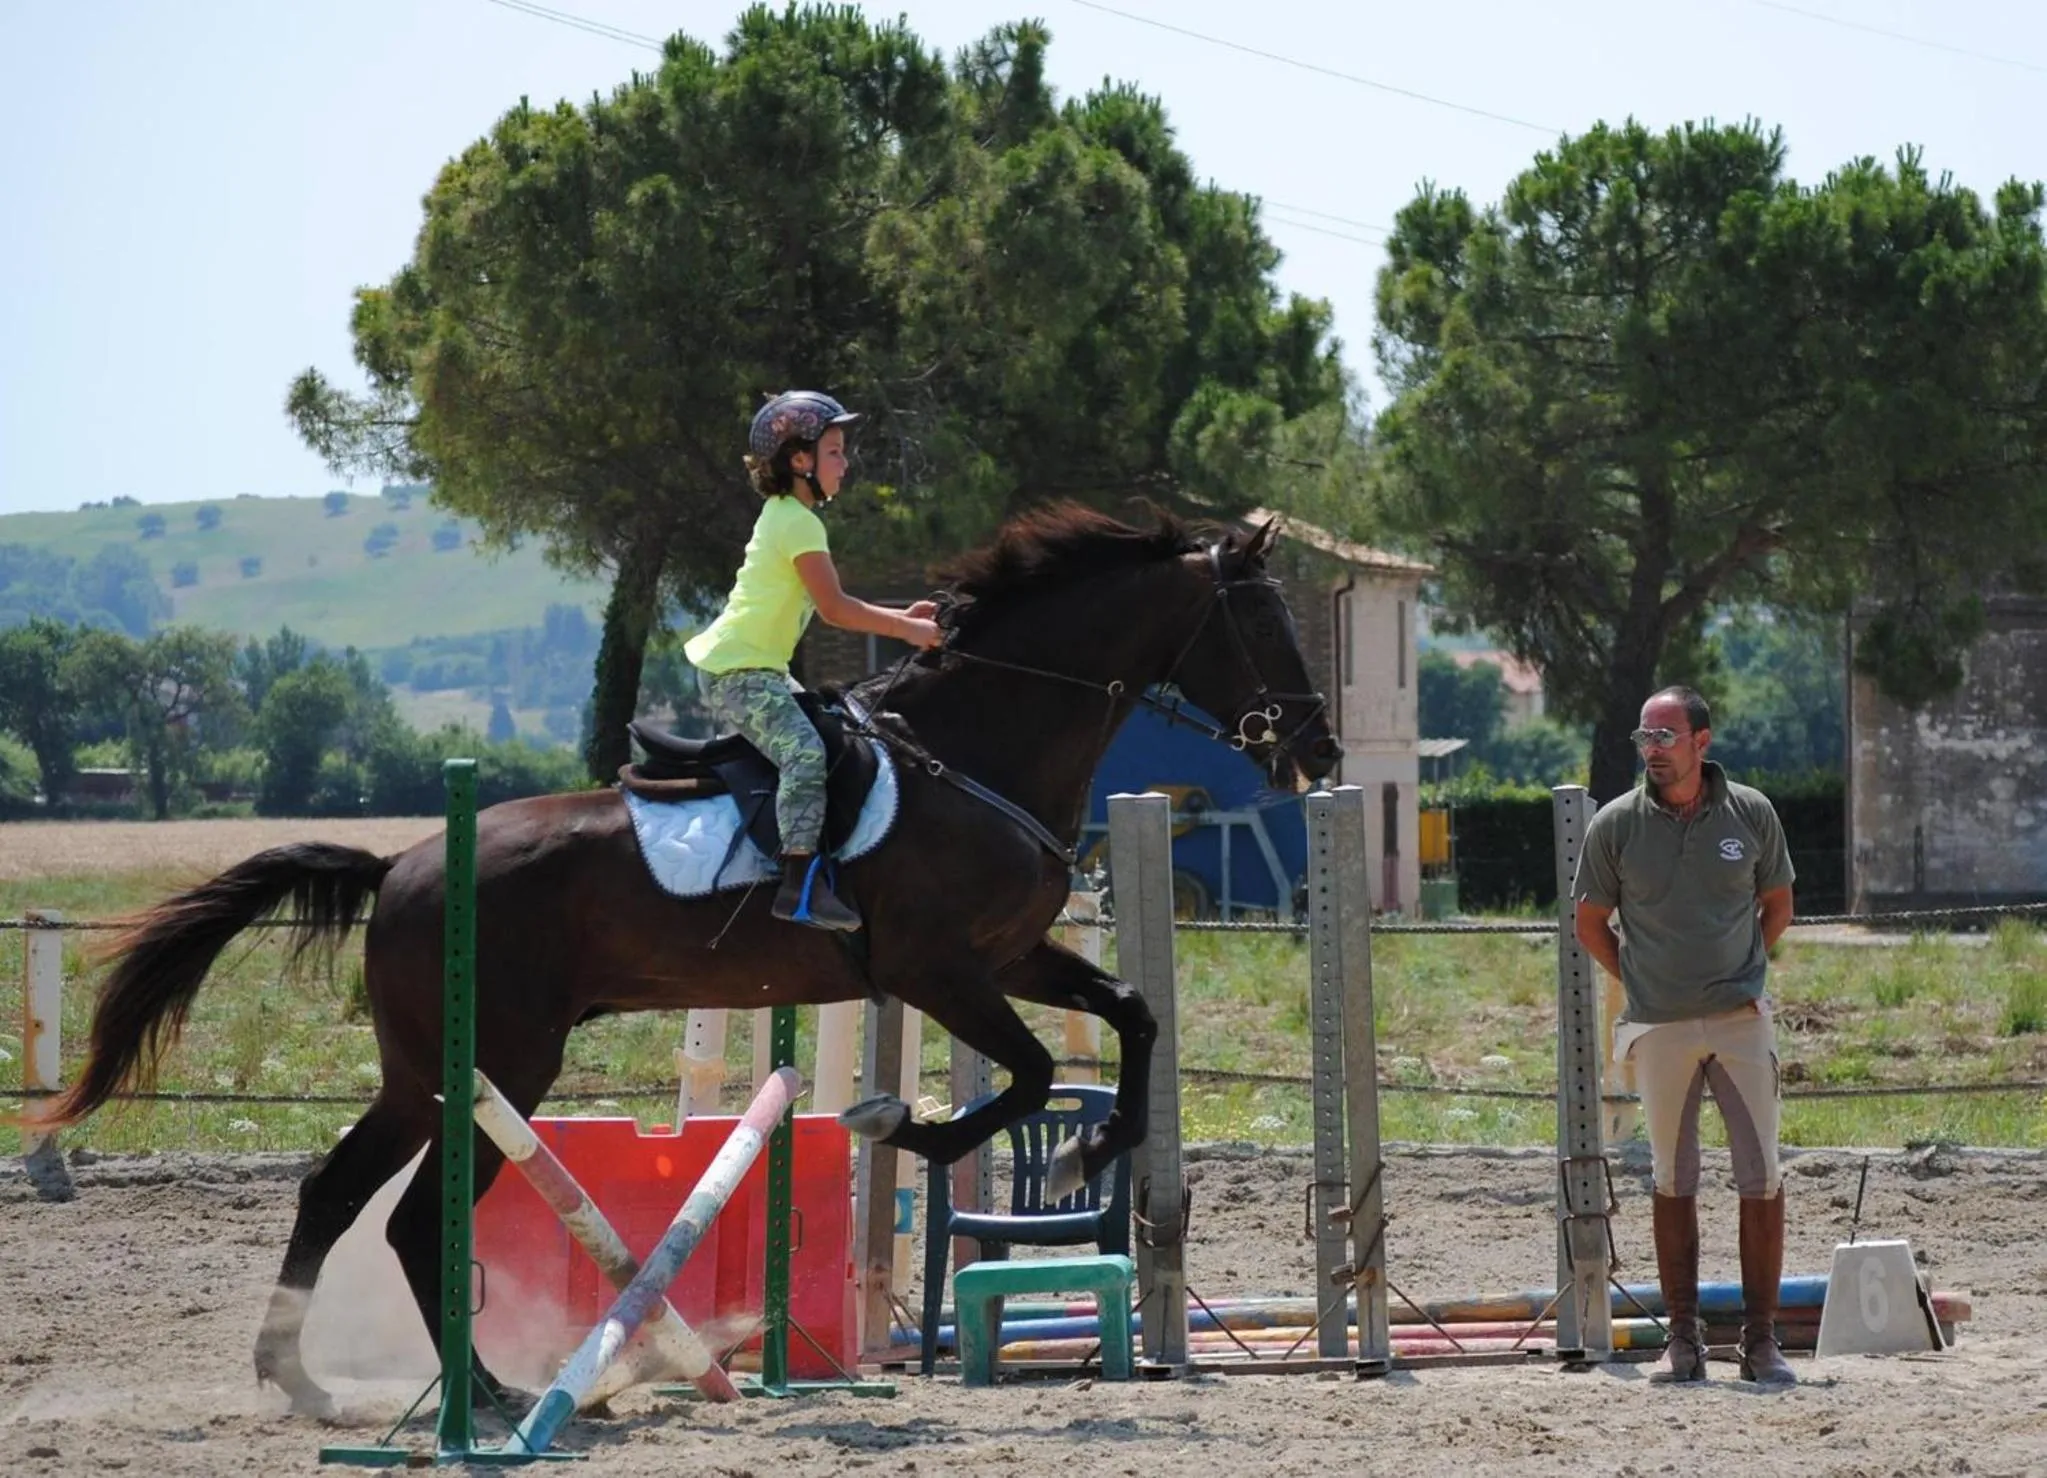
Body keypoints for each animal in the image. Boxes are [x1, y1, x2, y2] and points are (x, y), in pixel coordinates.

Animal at [33, 501, 1340, 1416]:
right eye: (1260, 622)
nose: (1314, 750)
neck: (979, 747)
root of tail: (401, 863)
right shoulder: (937, 971)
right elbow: (1017, 1076)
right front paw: (898, 1124)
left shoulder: (1010, 955)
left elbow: (1132, 1015)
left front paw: (1085, 1151)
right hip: (501, 1064)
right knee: (408, 1214)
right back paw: (486, 1394)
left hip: (426, 1074)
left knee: (339, 1194)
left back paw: (321, 1380)